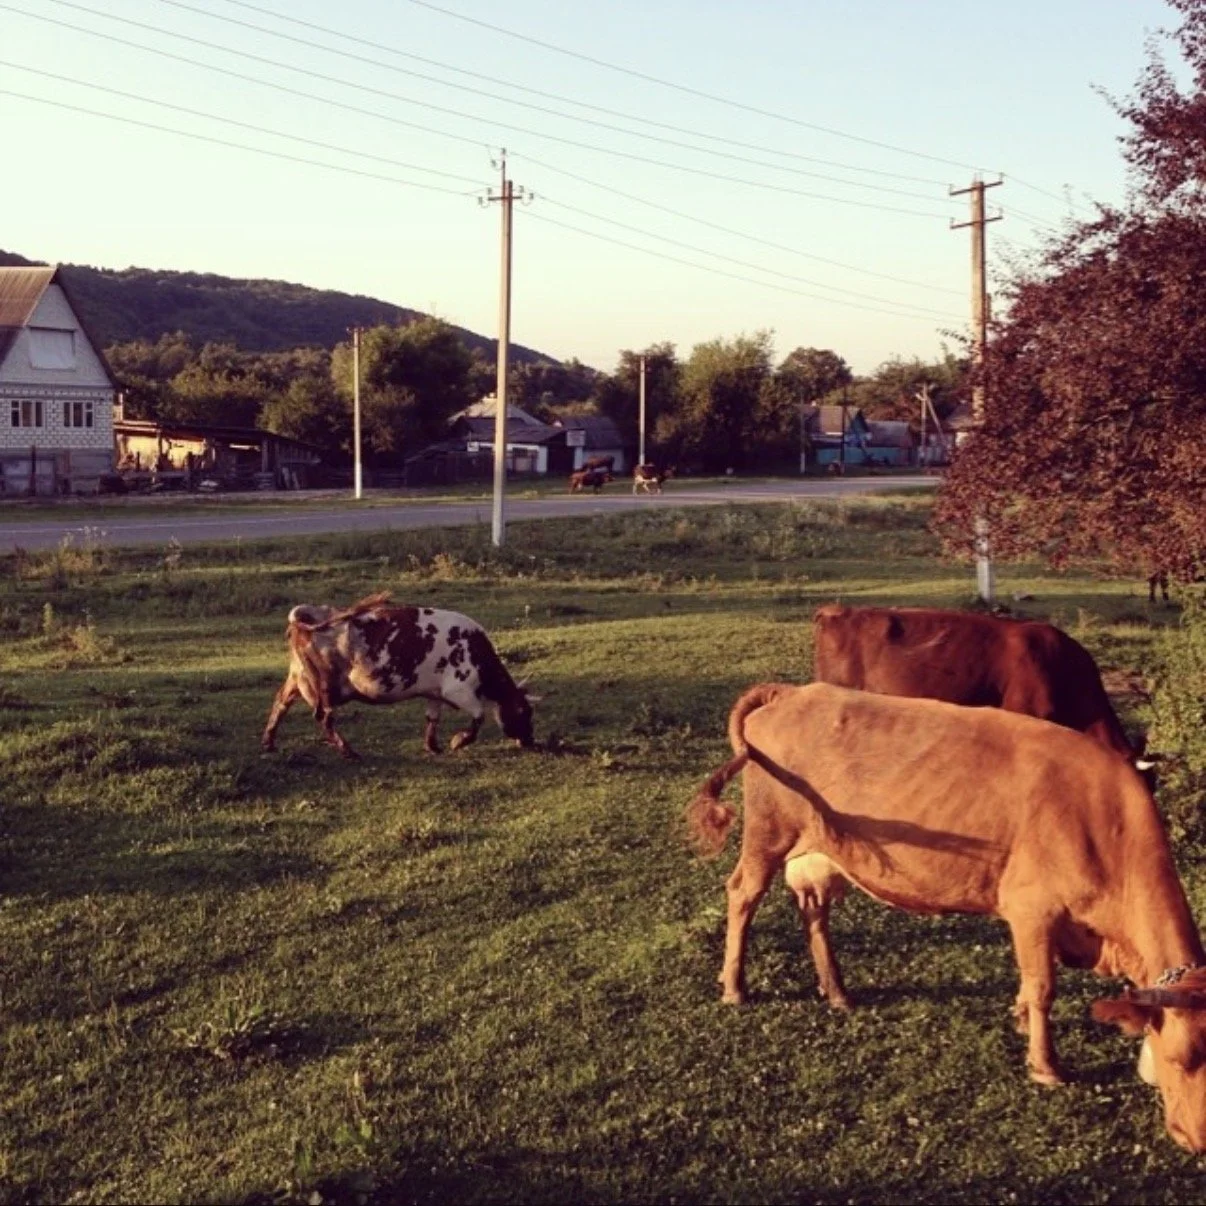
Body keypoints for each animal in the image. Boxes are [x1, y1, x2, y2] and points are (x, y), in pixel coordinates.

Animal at [260, 593, 538, 759]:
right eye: (525, 712)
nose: (530, 741)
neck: (476, 651)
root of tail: (310, 612)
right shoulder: (458, 689)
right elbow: (479, 717)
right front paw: (459, 741)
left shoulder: (435, 692)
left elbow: (432, 718)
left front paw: (433, 746)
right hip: (325, 687)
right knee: (324, 718)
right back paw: (348, 751)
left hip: (297, 677)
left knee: (281, 703)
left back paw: (269, 743)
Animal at [686, 681, 1206, 1151]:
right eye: (1180, 1060)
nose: (1197, 1142)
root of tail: (793, 692)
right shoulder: (1032, 909)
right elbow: (1043, 987)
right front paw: (1045, 1065)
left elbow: (1029, 982)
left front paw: (1020, 1020)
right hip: (768, 833)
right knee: (743, 894)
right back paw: (734, 986)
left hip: (818, 850)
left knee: (814, 909)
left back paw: (836, 991)